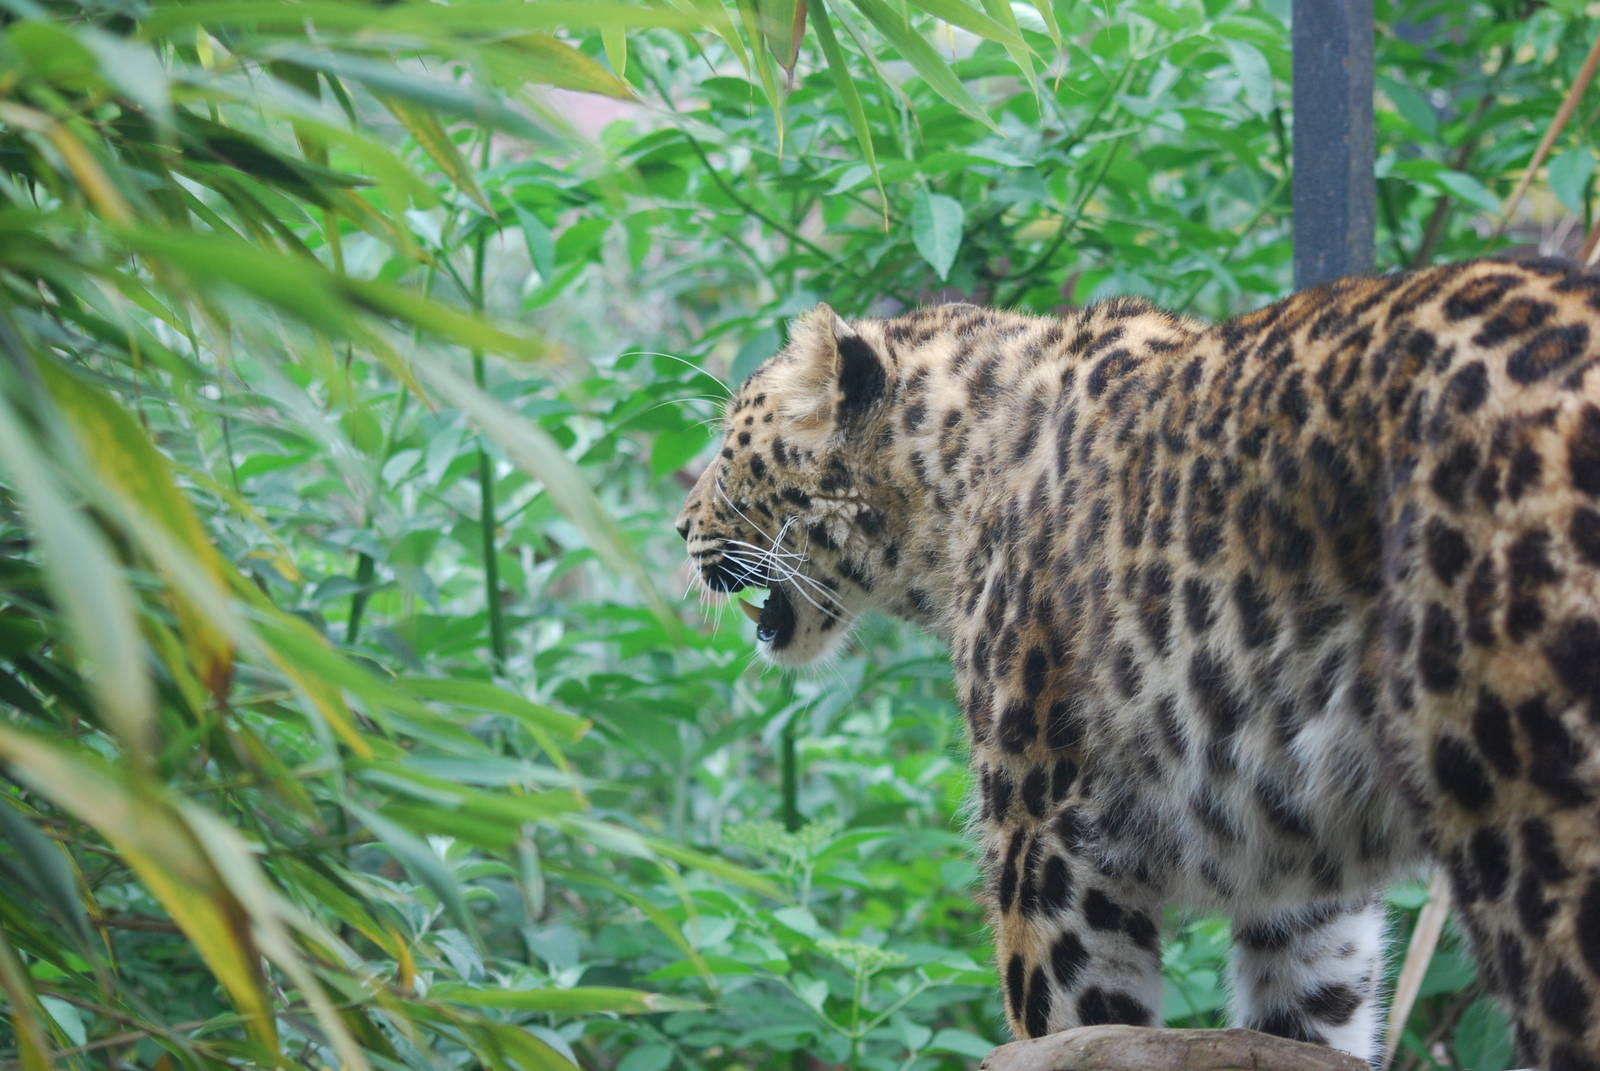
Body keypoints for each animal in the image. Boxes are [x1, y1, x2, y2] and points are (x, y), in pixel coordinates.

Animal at [674, 257, 1600, 1069]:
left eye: (726, 446)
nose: (678, 527)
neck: (949, 471)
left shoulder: (1049, 848)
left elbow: (1066, 1030)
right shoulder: (1306, 879)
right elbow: (1310, 1013)